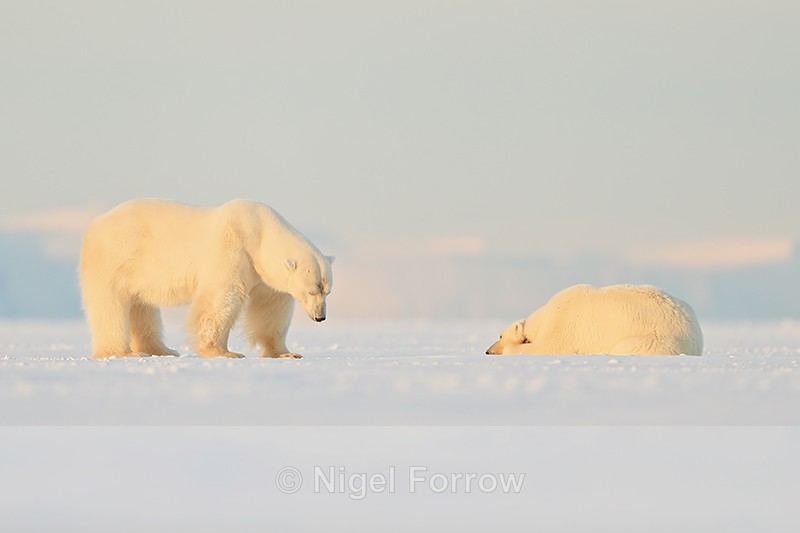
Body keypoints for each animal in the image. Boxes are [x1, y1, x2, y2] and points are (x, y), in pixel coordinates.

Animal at [79, 198, 333, 359]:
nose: (320, 317)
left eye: (327, 290)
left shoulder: (263, 275)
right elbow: (222, 297)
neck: (258, 229)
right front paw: (224, 352)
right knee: (110, 306)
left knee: (142, 307)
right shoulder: (233, 248)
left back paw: (162, 349)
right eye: (311, 290)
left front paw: (286, 352)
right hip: (116, 259)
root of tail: (94, 224)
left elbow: (271, 309)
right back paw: (122, 352)